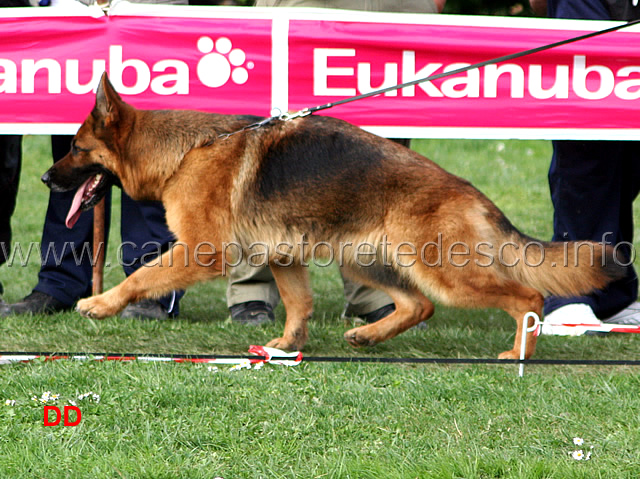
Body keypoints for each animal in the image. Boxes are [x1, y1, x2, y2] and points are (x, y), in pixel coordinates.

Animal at [42, 74, 624, 360]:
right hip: (364, 259)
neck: (185, 152)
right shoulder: (283, 255)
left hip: (444, 271)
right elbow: (299, 305)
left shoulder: (201, 251)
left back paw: (518, 353)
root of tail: (469, 191)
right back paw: (368, 337)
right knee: (417, 305)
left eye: (74, 148)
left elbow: (143, 275)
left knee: (526, 296)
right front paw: (283, 348)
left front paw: (99, 304)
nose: (46, 179)